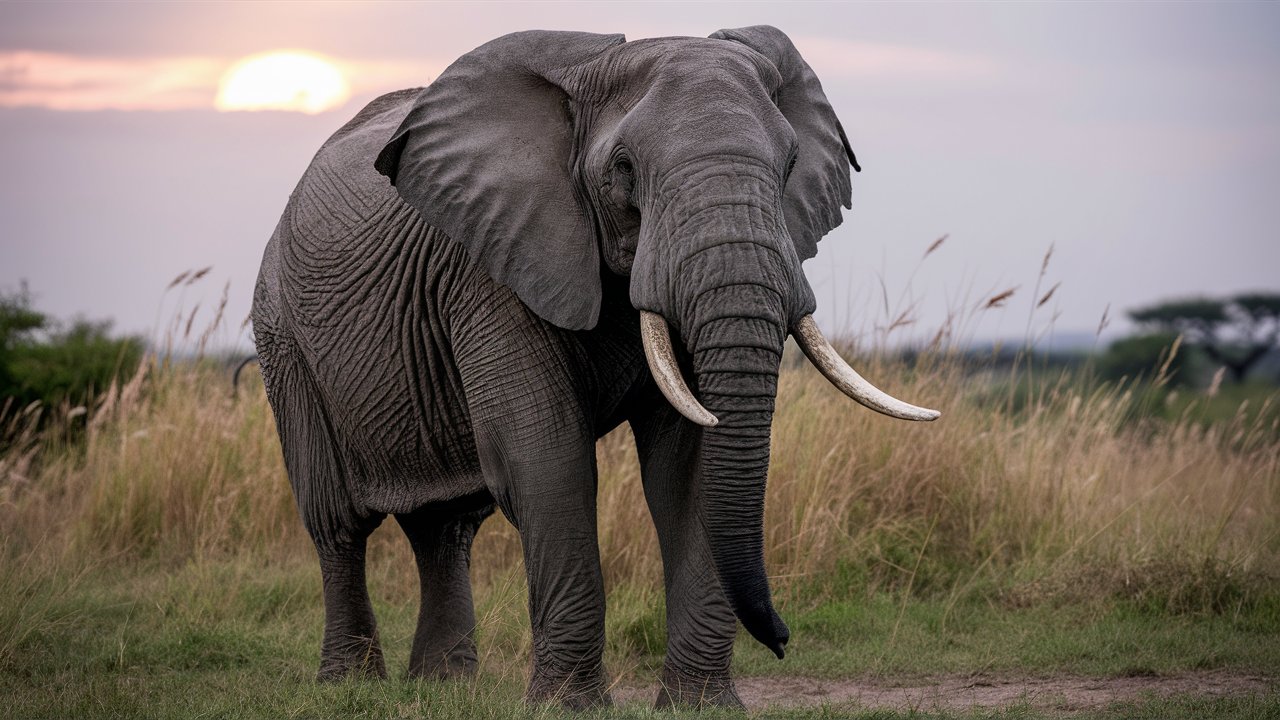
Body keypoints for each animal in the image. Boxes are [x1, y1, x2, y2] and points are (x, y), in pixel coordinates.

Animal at [249, 25, 936, 707]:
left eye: (790, 165)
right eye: (624, 170)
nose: (784, 640)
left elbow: (689, 469)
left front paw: (700, 707)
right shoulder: (491, 266)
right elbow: (547, 459)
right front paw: (567, 707)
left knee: (445, 524)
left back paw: (444, 688)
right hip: (282, 340)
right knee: (338, 524)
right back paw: (348, 685)